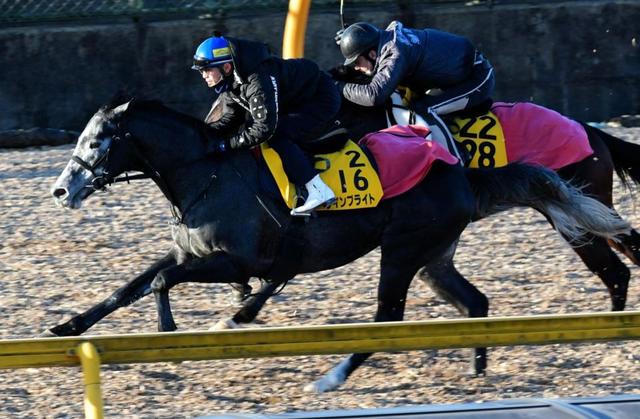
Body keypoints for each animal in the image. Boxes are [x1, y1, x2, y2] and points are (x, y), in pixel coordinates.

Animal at [51, 99, 632, 394]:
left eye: (97, 140)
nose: (62, 190)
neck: (208, 171)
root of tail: (462, 173)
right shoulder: (193, 253)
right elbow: (128, 286)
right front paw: (66, 327)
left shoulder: (237, 259)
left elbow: (158, 280)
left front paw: (176, 328)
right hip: (432, 256)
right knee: (476, 303)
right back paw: (478, 369)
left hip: (402, 251)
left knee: (387, 317)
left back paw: (329, 378)